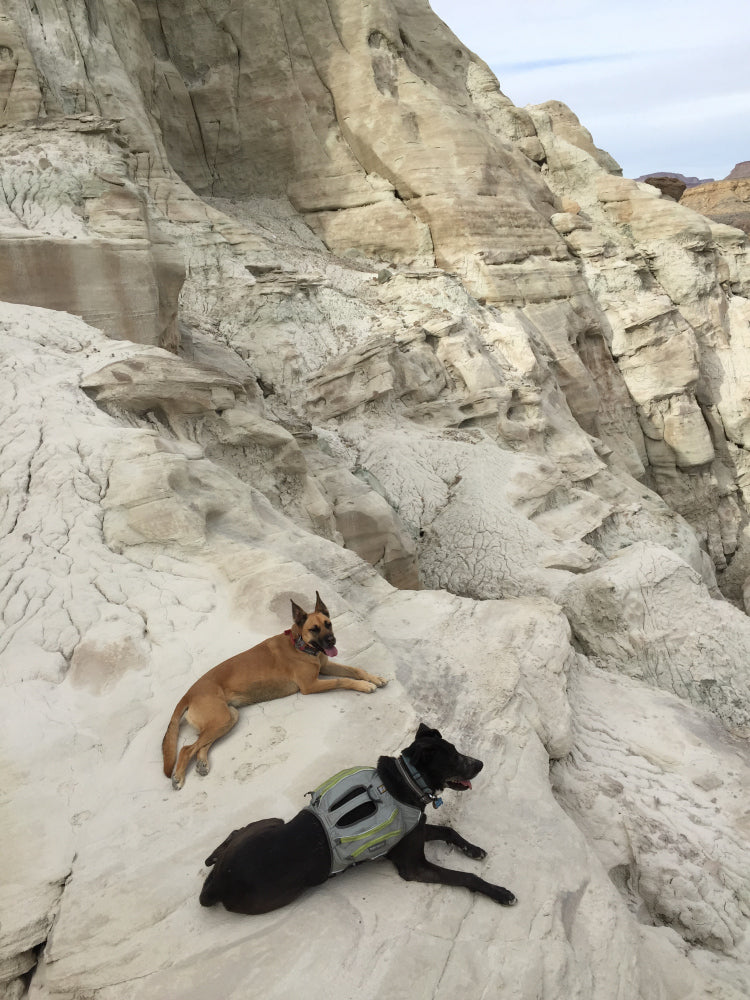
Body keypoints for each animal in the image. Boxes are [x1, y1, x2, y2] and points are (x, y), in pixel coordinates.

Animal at [164, 592, 388, 788]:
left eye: (328, 624)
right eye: (314, 629)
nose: (332, 641)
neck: (300, 644)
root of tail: (188, 694)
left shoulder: (325, 667)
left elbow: (355, 669)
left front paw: (374, 677)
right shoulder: (311, 685)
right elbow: (342, 680)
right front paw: (365, 685)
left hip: (229, 717)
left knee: (201, 744)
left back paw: (202, 762)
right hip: (222, 719)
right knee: (186, 748)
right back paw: (178, 777)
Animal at [200, 728, 516, 916]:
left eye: (456, 750)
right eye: (453, 758)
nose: (480, 764)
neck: (405, 781)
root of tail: (219, 884)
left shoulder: (416, 828)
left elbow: (448, 830)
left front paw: (473, 849)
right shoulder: (414, 866)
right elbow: (466, 877)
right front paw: (499, 892)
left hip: (272, 823)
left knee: (236, 831)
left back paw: (212, 857)